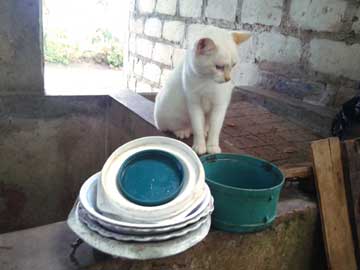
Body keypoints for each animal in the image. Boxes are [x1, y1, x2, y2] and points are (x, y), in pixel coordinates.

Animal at [154, 26, 250, 156]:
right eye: (218, 67)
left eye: (233, 65)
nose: (228, 79)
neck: (208, 82)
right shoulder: (194, 105)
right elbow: (197, 128)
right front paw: (199, 146)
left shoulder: (219, 106)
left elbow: (215, 129)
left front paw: (212, 146)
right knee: (177, 127)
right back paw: (183, 131)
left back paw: (204, 131)